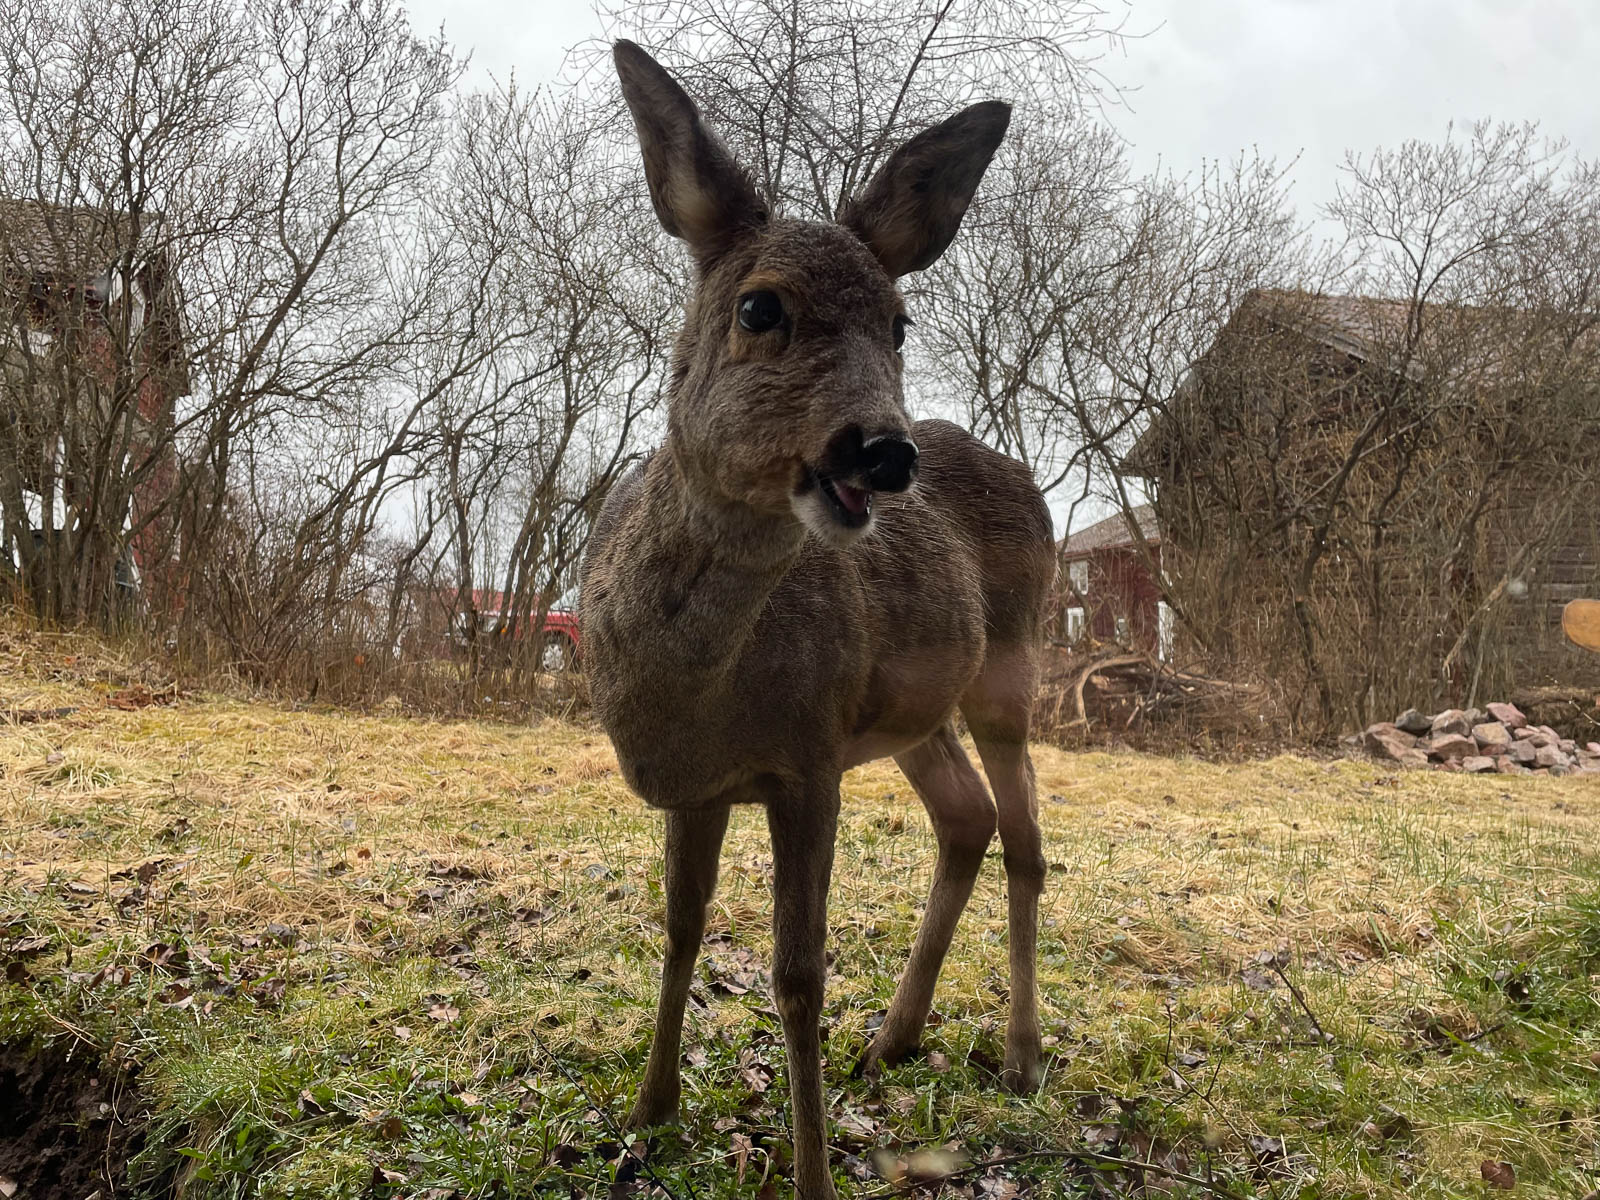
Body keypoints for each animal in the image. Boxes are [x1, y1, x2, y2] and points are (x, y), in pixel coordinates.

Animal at [580, 41, 1055, 1200]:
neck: (688, 694)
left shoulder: (806, 759)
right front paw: (649, 1110)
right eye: (759, 308)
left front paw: (809, 1171)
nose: (883, 452)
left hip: (1013, 664)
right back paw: (893, 1039)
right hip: (907, 712)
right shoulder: (707, 781)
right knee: (967, 820)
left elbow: (797, 973)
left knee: (1027, 836)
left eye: (900, 324)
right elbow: (679, 927)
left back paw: (1020, 1057)